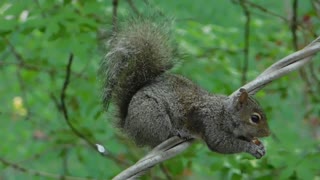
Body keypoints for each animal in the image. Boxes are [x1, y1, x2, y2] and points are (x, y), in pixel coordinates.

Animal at [99, 17, 270, 159]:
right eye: (255, 118)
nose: (267, 133)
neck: (225, 113)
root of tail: (128, 126)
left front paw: (259, 145)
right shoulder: (210, 124)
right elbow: (222, 144)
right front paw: (252, 148)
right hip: (154, 118)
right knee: (158, 139)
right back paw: (176, 132)